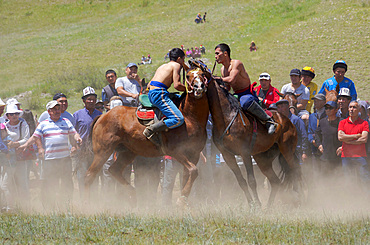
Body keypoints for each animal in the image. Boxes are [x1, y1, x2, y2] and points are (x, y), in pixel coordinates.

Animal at [85, 66, 210, 206]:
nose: (198, 87)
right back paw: (85, 203)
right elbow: (193, 171)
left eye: (202, 74)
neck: (190, 118)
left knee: (114, 170)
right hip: (103, 151)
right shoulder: (175, 151)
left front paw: (184, 198)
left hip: (127, 152)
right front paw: (181, 198)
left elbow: (189, 174)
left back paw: (133, 195)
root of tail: (102, 116)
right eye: (188, 76)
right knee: (89, 175)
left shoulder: (194, 153)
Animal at [191, 60, 304, 208]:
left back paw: (300, 197)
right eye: (190, 75)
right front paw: (252, 204)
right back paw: (269, 207)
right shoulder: (228, 155)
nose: (196, 88)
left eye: (201, 75)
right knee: (275, 181)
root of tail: (287, 121)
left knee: (296, 169)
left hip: (287, 149)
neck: (226, 115)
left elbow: (251, 181)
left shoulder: (244, 152)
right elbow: (241, 181)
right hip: (263, 158)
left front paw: (257, 205)